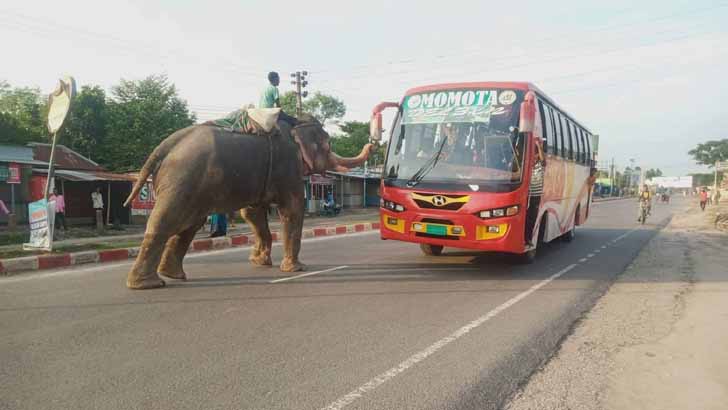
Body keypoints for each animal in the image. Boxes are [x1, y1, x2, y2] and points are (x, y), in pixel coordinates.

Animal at [123, 113, 370, 290]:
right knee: (167, 221)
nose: (372, 141)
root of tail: (164, 147)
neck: (295, 122)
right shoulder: (287, 165)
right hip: (183, 179)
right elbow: (292, 209)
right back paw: (149, 284)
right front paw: (297, 269)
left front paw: (259, 262)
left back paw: (172, 275)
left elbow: (252, 213)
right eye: (328, 146)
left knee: (190, 223)